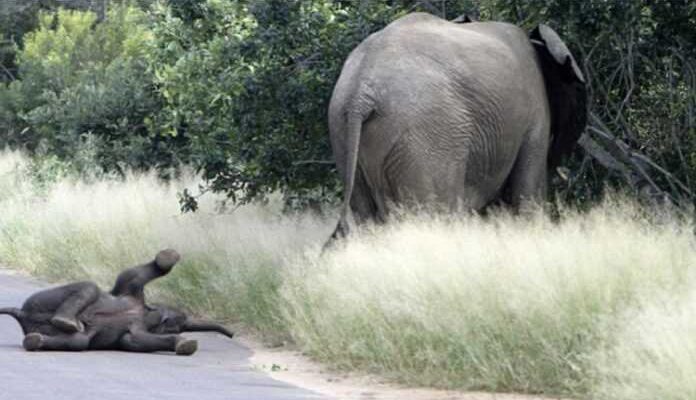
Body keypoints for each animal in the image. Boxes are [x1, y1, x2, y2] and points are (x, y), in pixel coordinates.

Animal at [0, 250, 234, 356]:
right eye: (181, 322)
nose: (232, 334)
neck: (146, 312)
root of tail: (22, 314)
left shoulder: (133, 333)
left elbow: (137, 339)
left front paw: (186, 345)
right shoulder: (130, 289)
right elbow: (134, 275)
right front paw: (169, 257)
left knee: (79, 341)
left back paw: (36, 339)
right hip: (40, 300)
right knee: (90, 287)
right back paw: (66, 321)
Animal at [328, 13, 588, 241]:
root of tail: (360, 93)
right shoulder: (535, 114)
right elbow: (528, 191)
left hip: (343, 132)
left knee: (366, 214)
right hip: (427, 137)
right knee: (436, 212)